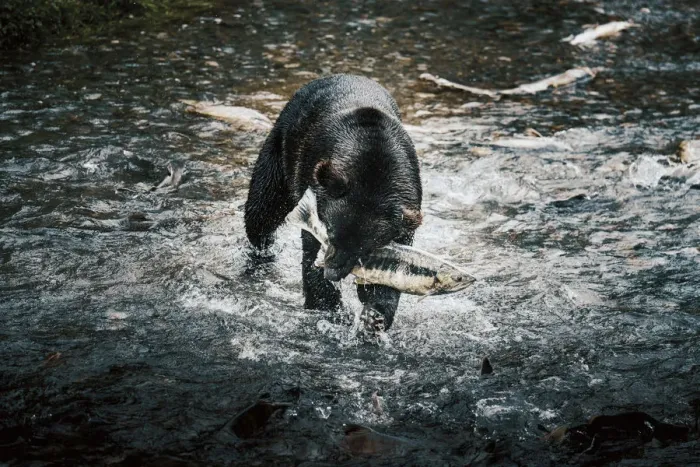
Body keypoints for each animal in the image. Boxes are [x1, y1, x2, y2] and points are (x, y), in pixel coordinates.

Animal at [244, 74, 422, 332]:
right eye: (329, 232)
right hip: (279, 153)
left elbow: (391, 269)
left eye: (365, 248)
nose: (332, 272)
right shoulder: (313, 192)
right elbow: (310, 252)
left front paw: (374, 316)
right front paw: (327, 306)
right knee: (261, 211)